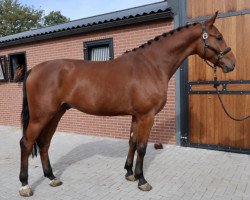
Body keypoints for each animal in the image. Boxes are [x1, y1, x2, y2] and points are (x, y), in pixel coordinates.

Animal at [18, 12, 235, 197]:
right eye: (219, 37)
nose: (232, 64)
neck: (152, 65)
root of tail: (33, 70)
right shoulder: (147, 116)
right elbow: (142, 147)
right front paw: (142, 180)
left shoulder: (136, 116)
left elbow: (132, 142)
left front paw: (130, 173)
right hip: (41, 116)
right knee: (26, 143)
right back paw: (25, 185)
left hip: (55, 114)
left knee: (44, 143)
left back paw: (52, 177)